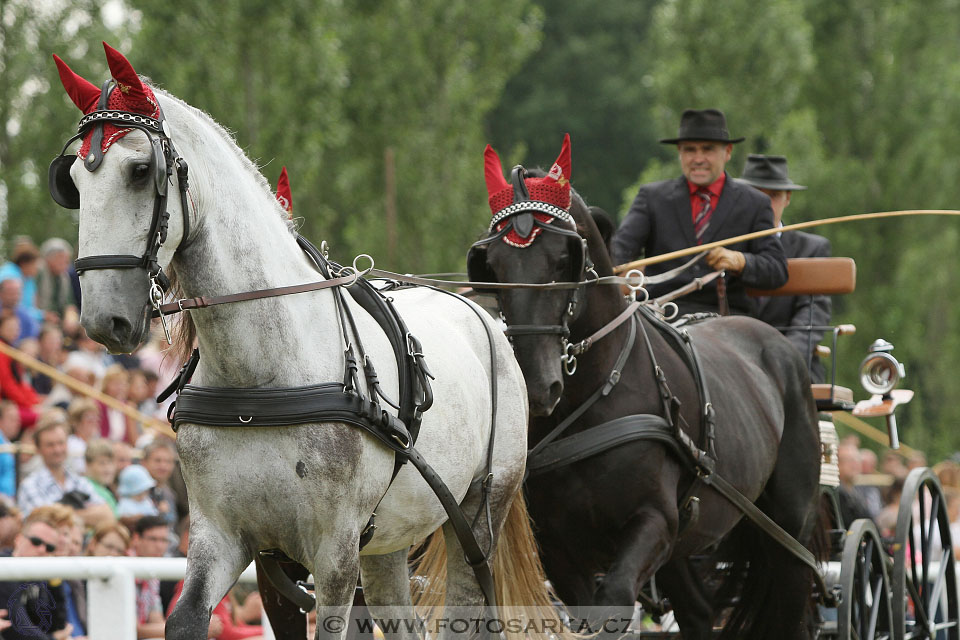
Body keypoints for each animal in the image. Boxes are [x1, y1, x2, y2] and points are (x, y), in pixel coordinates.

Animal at [468, 136, 820, 640]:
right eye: (492, 267)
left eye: (564, 260)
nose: (537, 386)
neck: (593, 399)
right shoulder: (560, 547)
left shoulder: (654, 521)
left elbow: (614, 602)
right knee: (698, 611)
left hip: (789, 533)